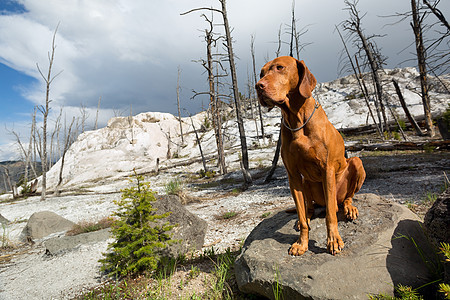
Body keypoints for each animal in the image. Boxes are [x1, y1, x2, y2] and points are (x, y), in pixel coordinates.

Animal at [256, 56, 366, 255]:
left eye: (280, 68)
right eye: (261, 73)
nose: (258, 86)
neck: (296, 118)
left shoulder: (327, 169)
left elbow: (330, 215)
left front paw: (333, 240)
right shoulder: (293, 176)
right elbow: (302, 214)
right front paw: (302, 243)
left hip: (355, 164)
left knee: (343, 199)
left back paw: (349, 208)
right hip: (306, 182)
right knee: (309, 207)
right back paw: (305, 217)